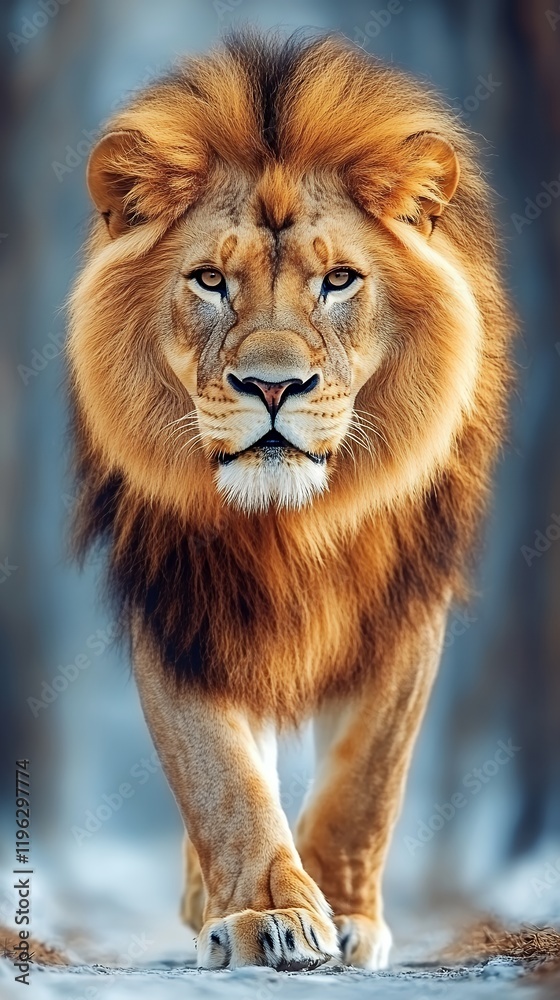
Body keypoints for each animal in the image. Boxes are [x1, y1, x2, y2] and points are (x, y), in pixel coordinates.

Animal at [67, 32, 513, 971]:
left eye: (339, 280)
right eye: (209, 281)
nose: (273, 388)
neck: (289, 523)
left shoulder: (407, 604)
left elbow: (366, 781)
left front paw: (345, 915)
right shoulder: (179, 600)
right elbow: (223, 775)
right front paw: (265, 911)